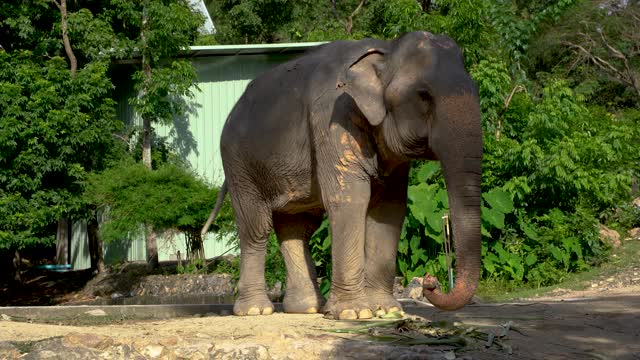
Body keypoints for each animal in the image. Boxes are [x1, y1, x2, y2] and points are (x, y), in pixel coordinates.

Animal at [204, 30, 480, 318]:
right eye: (424, 95)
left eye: (476, 89)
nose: (429, 282)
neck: (386, 50)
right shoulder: (332, 116)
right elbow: (350, 198)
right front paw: (354, 313)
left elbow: (389, 208)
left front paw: (386, 309)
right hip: (240, 164)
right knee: (256, 227)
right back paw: (256, 310)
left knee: (296, 228)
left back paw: (307, 308)